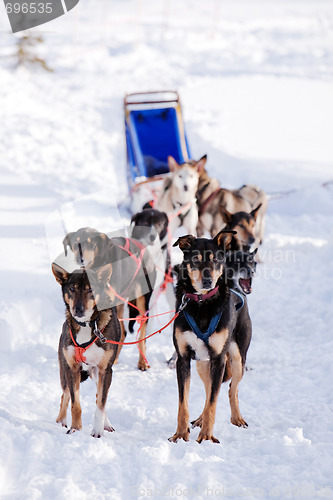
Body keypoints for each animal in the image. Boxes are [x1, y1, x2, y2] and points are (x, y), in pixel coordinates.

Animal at [51, 264, 120, 436]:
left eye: (91, 289)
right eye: (72, 288)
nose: (79, 309)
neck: (88, 325)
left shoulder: (105, 370)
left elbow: (101, 404)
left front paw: (97, 432)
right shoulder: (72, 368)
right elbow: (75, 403)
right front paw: (75, 429)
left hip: (96, 373)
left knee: (98, 396)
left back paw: (106, 424)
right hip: (65, 370)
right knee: (65, 395)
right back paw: (61, 421)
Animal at [169, 232, 252, 444]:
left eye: (215, 260)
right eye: (196, 260)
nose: (207, 281)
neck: (201, 303)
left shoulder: (219, 358)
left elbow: (214, 402)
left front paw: (206, 437)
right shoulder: (183, 359)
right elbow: (183, 403)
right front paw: (180, 435)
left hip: (237, 359)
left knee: (231, 389)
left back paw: (237, 418)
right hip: (202, 363)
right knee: (208, 391)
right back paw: (199, 419)